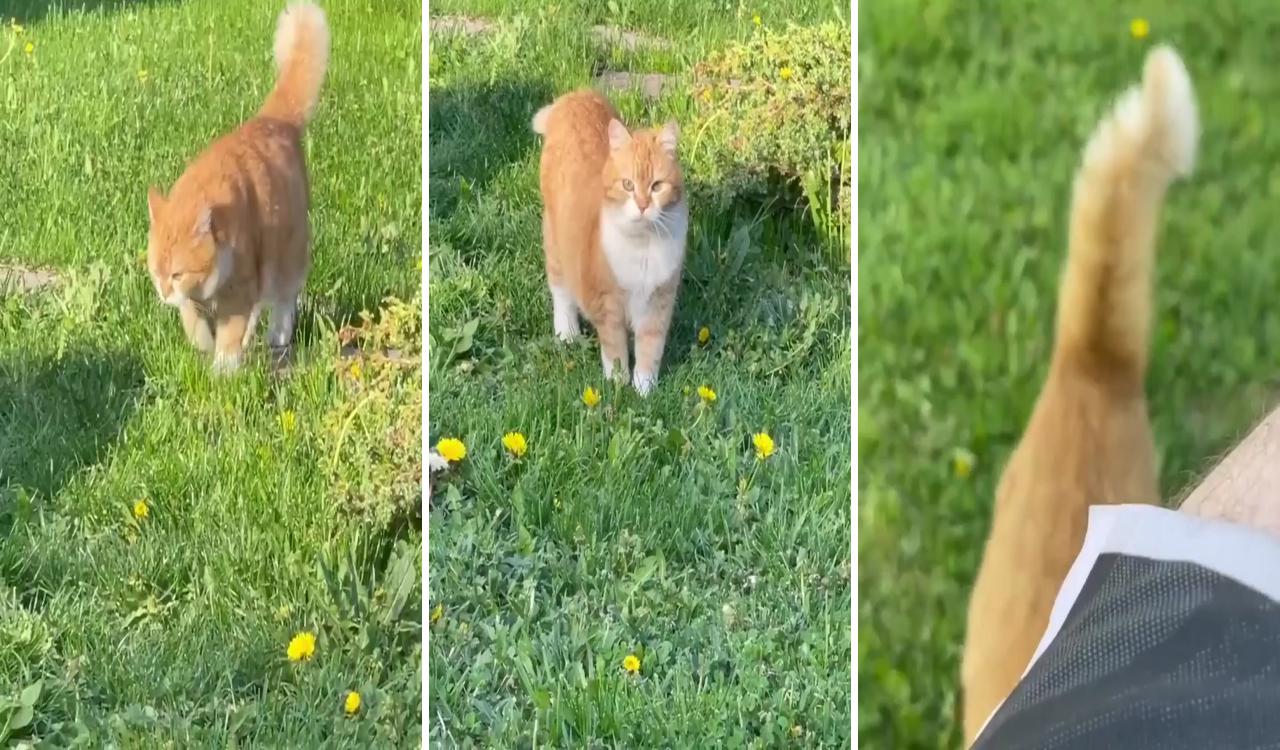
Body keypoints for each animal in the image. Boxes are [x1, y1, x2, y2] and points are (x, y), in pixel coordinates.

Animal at [144, 1, 330, 371]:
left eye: (177, 274)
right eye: (157, 272)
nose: (163, 293)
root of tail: (272, 119)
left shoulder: (241, 284)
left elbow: (231, 328)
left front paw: (224, 366)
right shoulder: (202, 297)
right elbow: (193, 319)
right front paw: (203, 343)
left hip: (285, 254)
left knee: (285, 297)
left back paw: (277, 336)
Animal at [529, 89, 691, 394]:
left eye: (656, 186)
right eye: (628, 185)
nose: (642, 205)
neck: (644, 246)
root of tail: (574, 96)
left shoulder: (659, 301)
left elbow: (650, 347)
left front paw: (644, 388)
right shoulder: (607, 304)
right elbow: (615, 348)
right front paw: (617, 382)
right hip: (555, 243)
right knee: (561, 291)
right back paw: (567, 333)